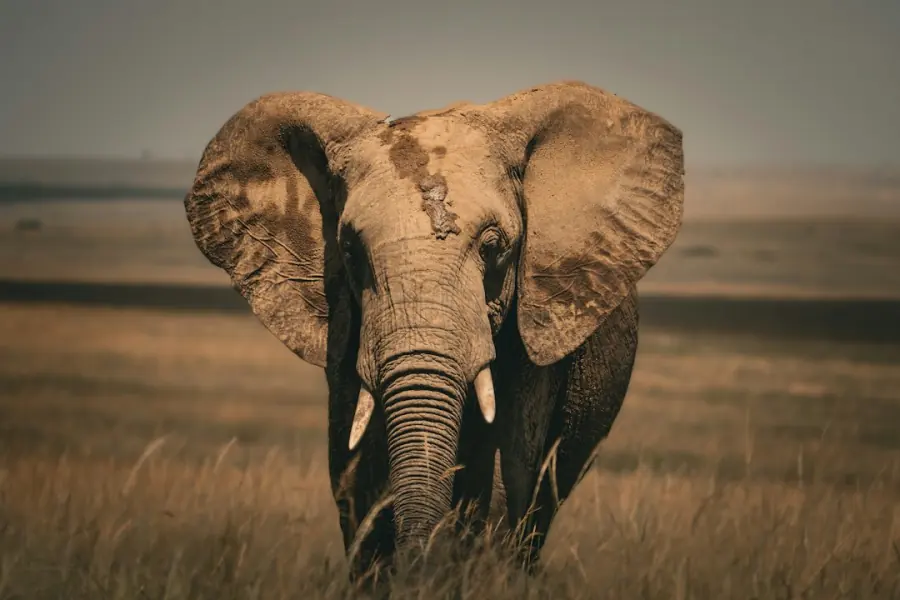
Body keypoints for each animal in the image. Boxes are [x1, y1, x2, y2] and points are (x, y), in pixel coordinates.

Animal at [182, 80, 684, 579]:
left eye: (493, 247)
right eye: (350, 251)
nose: (418, 561)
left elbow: (503, 477)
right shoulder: (347, 332)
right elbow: (355, 474)